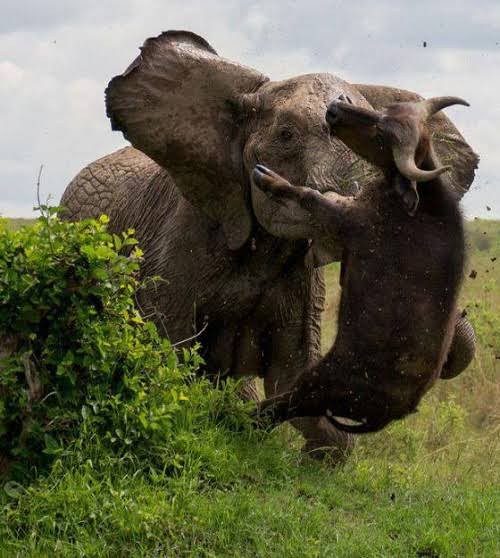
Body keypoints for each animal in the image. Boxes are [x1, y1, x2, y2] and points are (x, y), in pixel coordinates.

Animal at [254, 95, 476, 434]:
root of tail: (395, 412)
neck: (417, 205)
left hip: (316, 384)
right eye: (384, 110)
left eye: (381, 135)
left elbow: (309, 196)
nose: (334, 109)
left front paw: (268, 177)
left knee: (276, 408)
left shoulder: (347, 222)